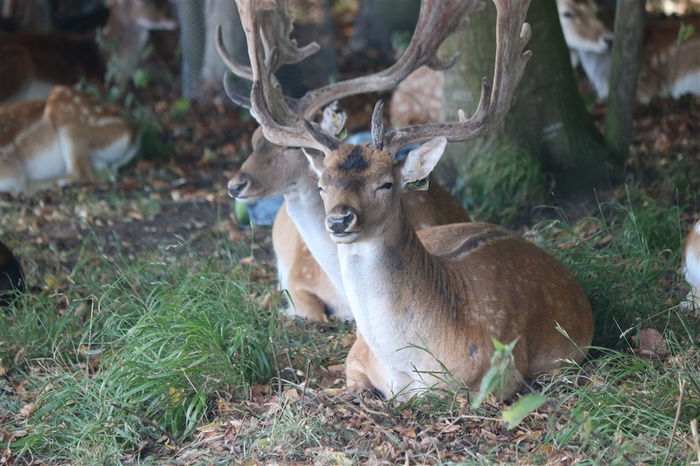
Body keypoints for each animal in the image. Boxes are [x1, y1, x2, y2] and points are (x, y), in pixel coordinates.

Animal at [231, 0, 596, 400]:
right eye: (323, 184)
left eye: (386, 184)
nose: (339, 220)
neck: (405, 364)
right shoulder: (354, 357)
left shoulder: (494, 377)